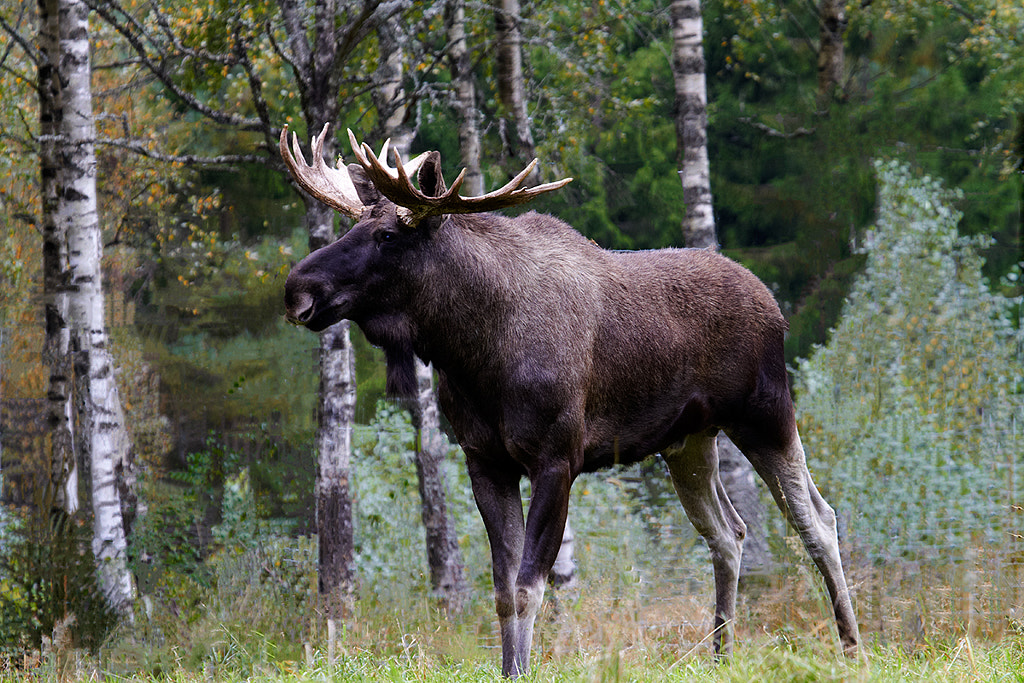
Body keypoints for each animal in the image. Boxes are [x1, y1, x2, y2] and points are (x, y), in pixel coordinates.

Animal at [278, 125, 856, 675]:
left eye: (387, 234)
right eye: (351, 226)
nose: (296, 289)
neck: (474, 353)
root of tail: (775, 307)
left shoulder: (557, 458)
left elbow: (529, 587)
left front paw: (522, 669)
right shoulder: (485, 460)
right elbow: (503, 590)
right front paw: (509, 668)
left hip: (765, 414)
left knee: (817, 520)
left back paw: (852, 648)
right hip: (689, 443)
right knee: (728, 533)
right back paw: (721, 655)